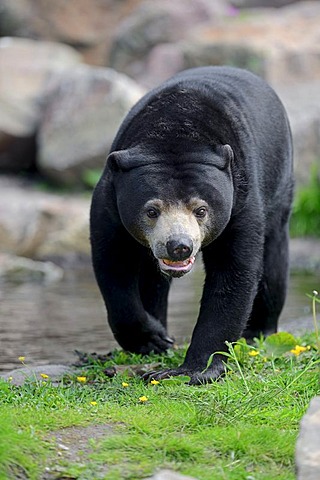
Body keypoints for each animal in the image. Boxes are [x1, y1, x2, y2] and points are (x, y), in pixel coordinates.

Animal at [89, 65, 292, 384]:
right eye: (151, 210)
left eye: (201, 210)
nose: (179, 246)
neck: (176, 129)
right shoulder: (110, 201)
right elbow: (113, 263)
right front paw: (151, 340)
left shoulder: (241, 199)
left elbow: (233, 273)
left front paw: (192, 369)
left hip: (280, 185)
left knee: (273, 260)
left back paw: (258, 330)